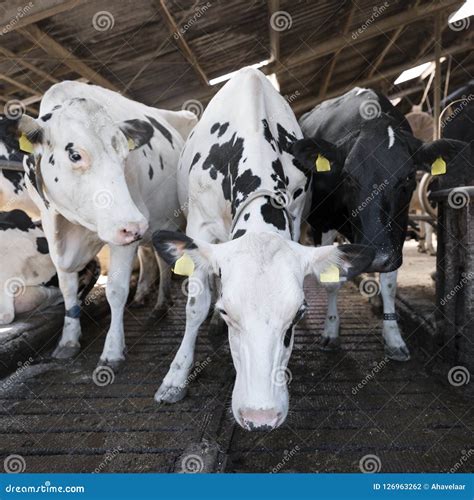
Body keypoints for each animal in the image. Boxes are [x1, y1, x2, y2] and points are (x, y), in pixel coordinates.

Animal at [12, 82, 196, 370]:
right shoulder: (53, 231)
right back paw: (151, 300)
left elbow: (116, 291)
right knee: (153, 255)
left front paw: (112, 351)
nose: (136, 225)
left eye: (124, 156)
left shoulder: (125, 228)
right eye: (75, 154)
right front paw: (68, 340)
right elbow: (68, 289)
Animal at [152, 68, 374, 432]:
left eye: (298, 314)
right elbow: (196, 307)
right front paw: (176, 376)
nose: (260, 417)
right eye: (228, 312)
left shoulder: (295, 218)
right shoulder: (199, 226)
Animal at [292, 86, 466, 360]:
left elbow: (390, 285)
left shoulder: (397, 231)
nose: (377, 256)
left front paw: (394, 338)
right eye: (347, 176)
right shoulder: (323, 223)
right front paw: (330, 331)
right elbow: (331, 280)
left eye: (409, 177)